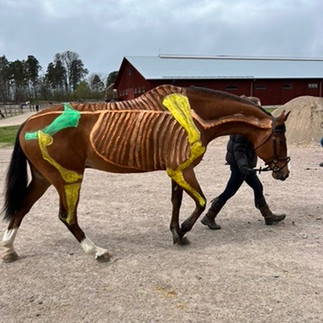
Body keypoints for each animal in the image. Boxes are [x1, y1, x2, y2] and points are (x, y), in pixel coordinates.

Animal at [1, 84, 292, 264]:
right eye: (280, 139)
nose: (284, 172)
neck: (192, 114)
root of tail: (28, 122)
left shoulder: (176, 171)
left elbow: (177, 201)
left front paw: (176, 233)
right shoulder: (182, 169)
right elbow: (200, 202)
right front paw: (183, 230)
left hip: (43, 178)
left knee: (21, 209)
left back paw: (9, 249)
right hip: (68, 178)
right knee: (67, 216)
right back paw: (96, 251)